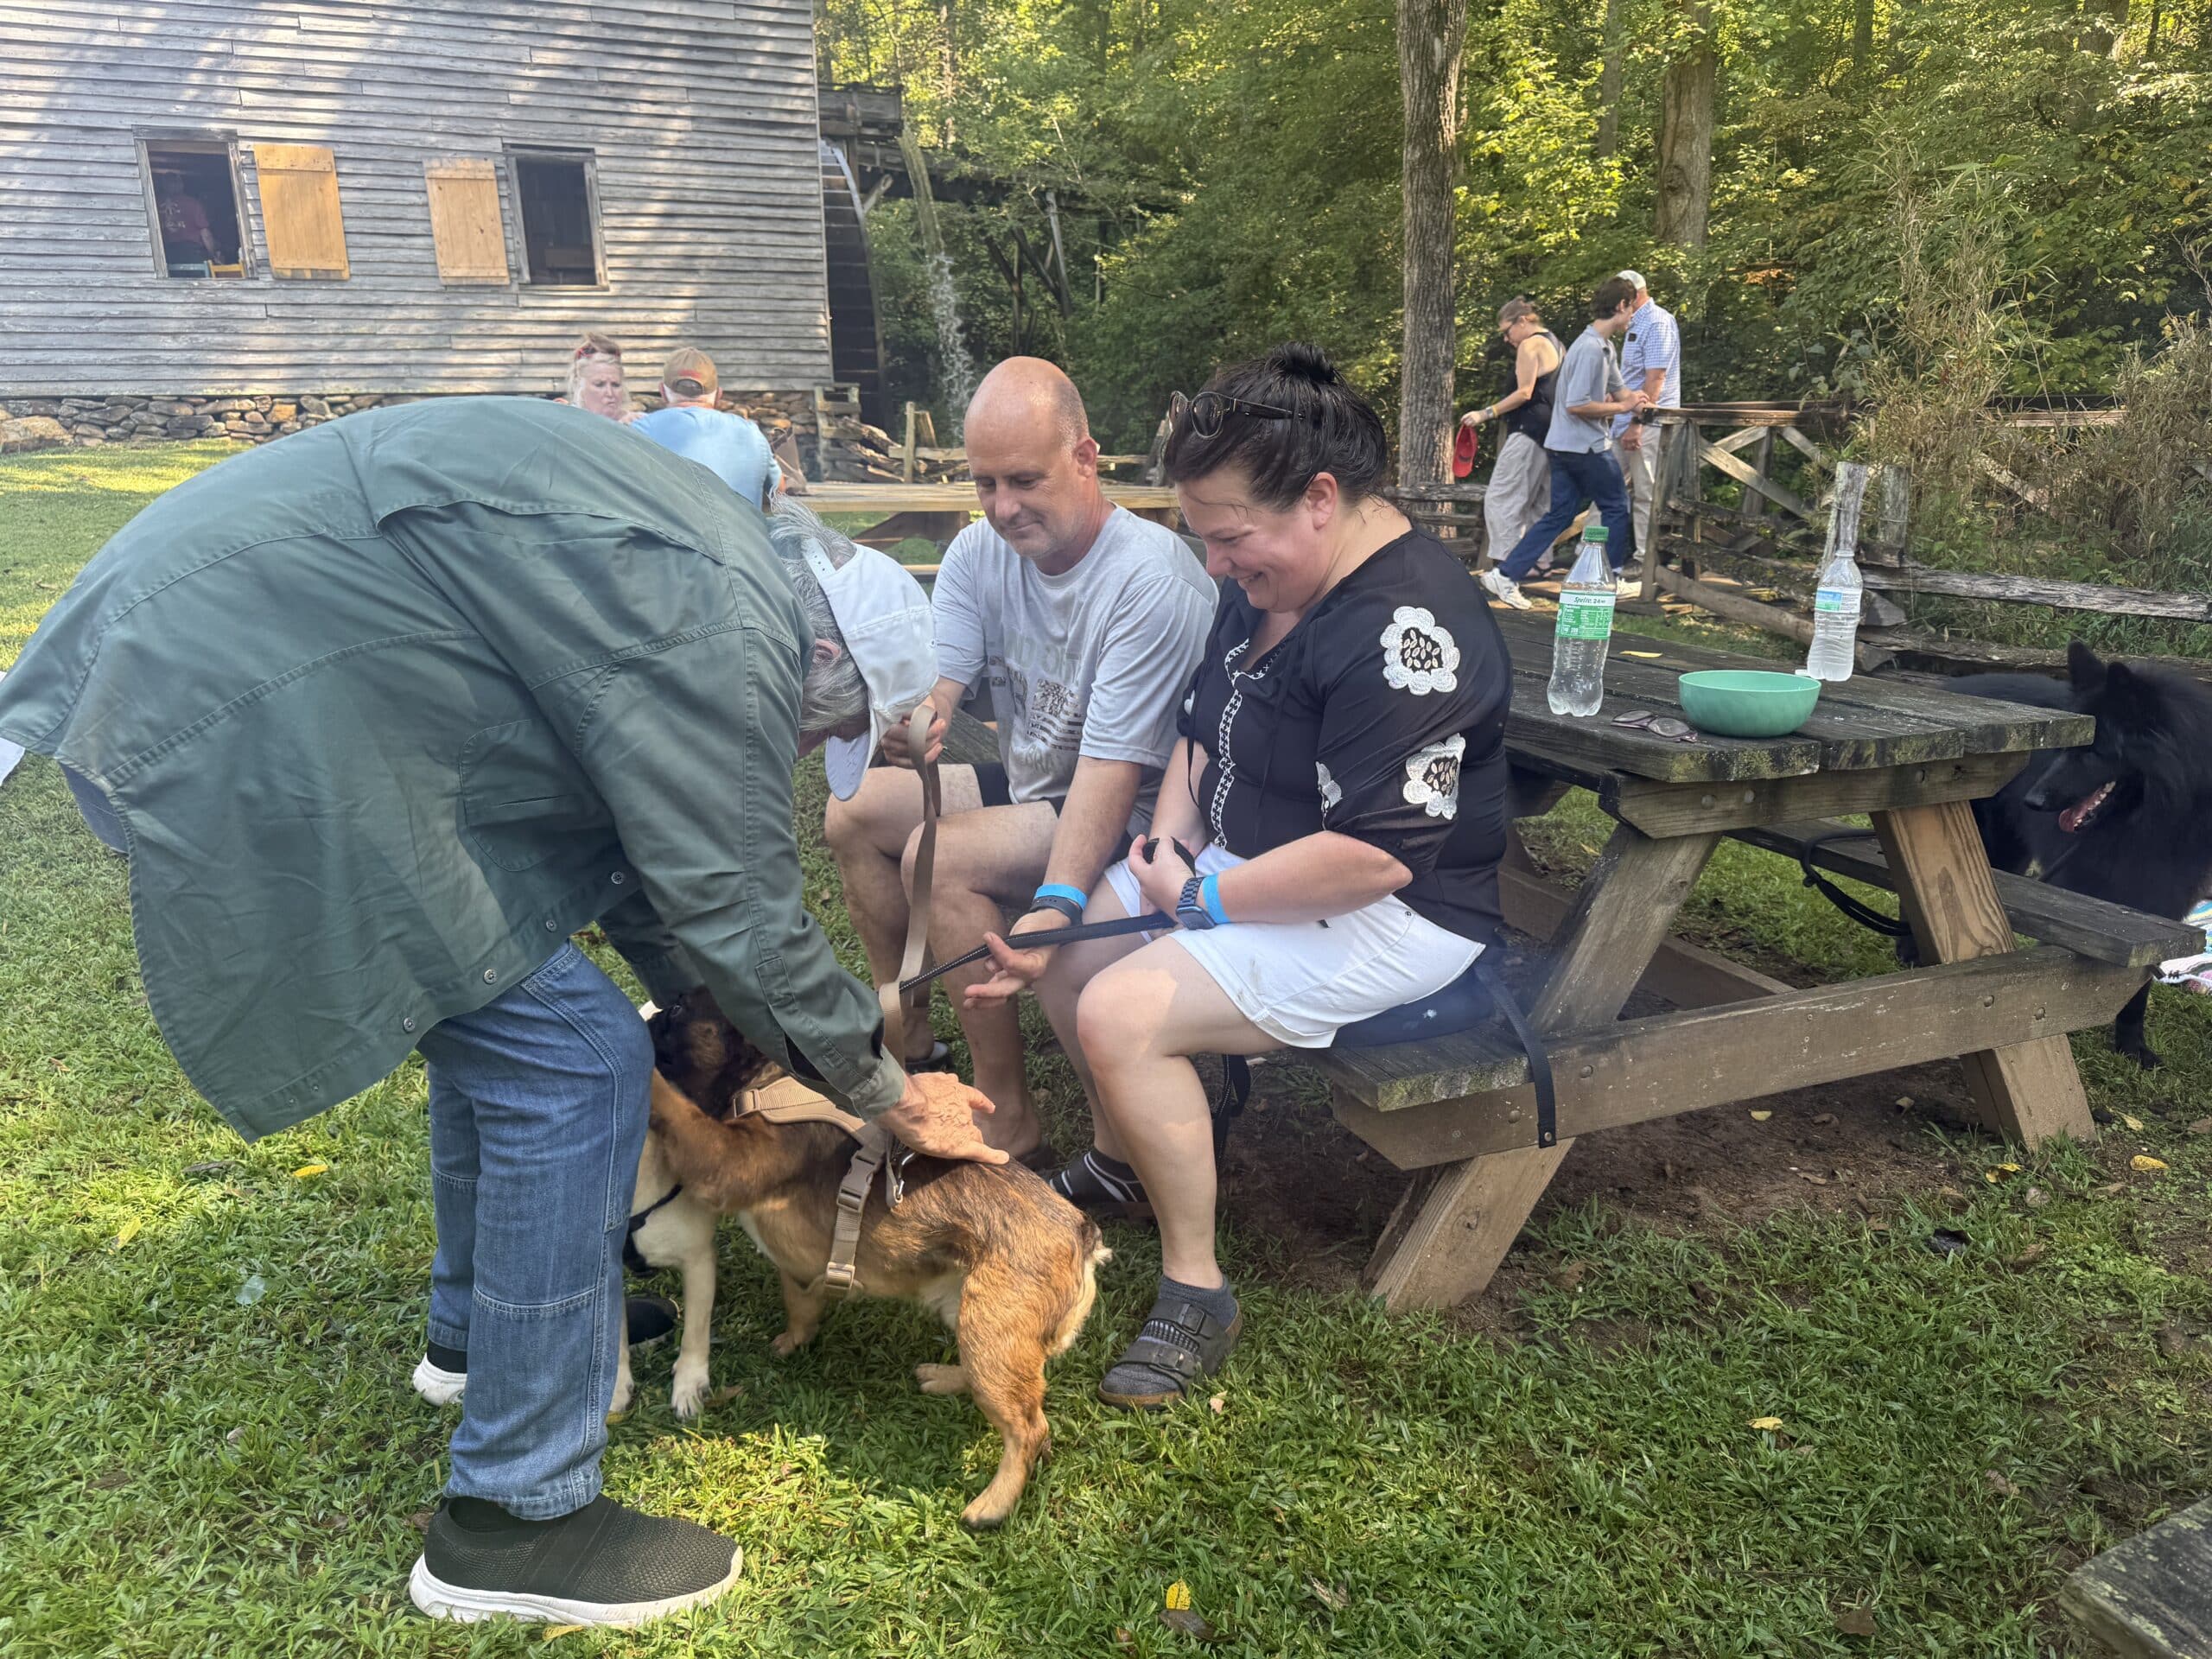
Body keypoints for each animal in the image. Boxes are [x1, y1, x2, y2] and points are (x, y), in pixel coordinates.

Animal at [640, 992, 1109, 1529]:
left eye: (678, 1011)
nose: (650, 1018)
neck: (764, 1081)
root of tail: (1082, 1234)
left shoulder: (723, 1158)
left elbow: (681, 1114)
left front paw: (648, 1078)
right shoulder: (799, 1272)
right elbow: (800, 1308)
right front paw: (793, 1341)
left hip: (991, 1330)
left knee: (1029, 1427)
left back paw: (994, 1501)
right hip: (969, 1317)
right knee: (994, 1382)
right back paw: (945, 1377)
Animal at [1953, 640, 2212, 1067]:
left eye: (2094, 752)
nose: (2032, 800)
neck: (2145, 821)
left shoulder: (2155, 913)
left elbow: (2137, 987)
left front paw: (2131, 1046)